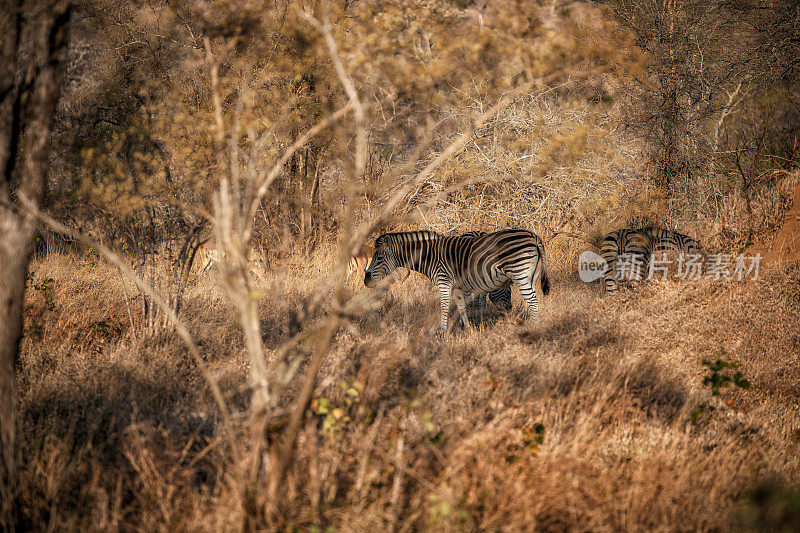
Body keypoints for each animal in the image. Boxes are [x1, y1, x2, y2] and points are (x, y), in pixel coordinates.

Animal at [364, 229, 548, 332]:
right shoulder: (458, 287)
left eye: (379, 257)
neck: (429, 256)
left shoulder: (444, 282)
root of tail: (534, 236)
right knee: (534, 300)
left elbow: (445, 307)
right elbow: (462, 308)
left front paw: (442, 332)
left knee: (532, 301)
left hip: (520, 273)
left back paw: (535, 327)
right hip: (532, 276)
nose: (366, 280)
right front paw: (468, 329)